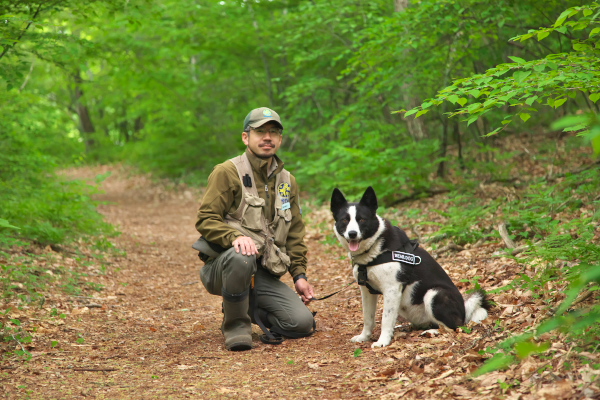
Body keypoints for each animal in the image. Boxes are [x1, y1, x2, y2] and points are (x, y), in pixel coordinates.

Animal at [330, 188, 490, 346]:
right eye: (345, 220)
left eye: (362, 219)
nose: (352, 234)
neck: (375, 248)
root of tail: (464, 311)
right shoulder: (366, 291)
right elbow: (368, 317)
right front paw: (364, 336)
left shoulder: (392, 290)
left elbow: (385, 319)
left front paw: (382, 341)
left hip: (434, 293)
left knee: (453, 326)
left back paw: (432, 332)